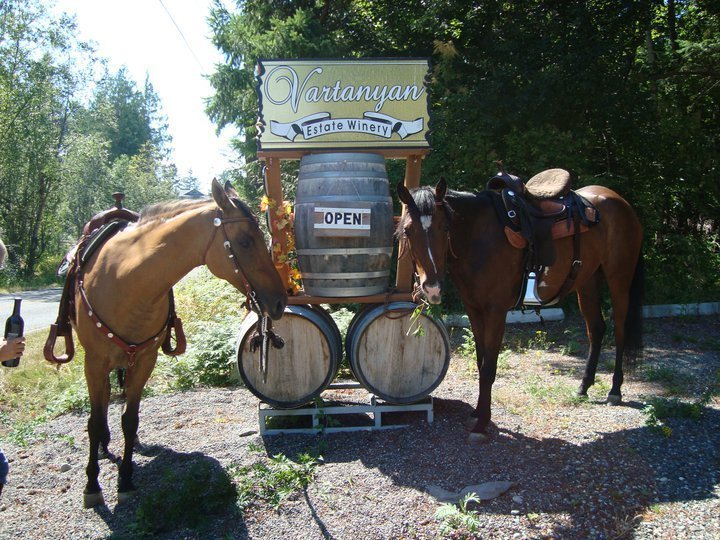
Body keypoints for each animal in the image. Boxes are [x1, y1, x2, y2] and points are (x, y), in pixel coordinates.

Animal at [67, 179, 287, 507]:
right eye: (246, 241)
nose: (280, 302)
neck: (126, 281)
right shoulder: (93, 361)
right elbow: (93, 421)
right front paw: (92, 484)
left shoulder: (145, 360)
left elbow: (130, 419)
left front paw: (126, 478)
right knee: (103, 404)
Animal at [397, 175, 644, 443]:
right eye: (408, 230)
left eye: (444, 228)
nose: (431, 287)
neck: (478, 237)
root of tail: (620, 201)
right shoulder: (474, 308)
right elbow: (481, 361)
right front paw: (477, 413)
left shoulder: (495, 311)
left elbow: (489, 368)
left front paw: (482, 423)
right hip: (586, 281)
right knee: (596, 329)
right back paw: (583, 387)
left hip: (619, 278)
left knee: (619, 331)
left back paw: (615, 390)